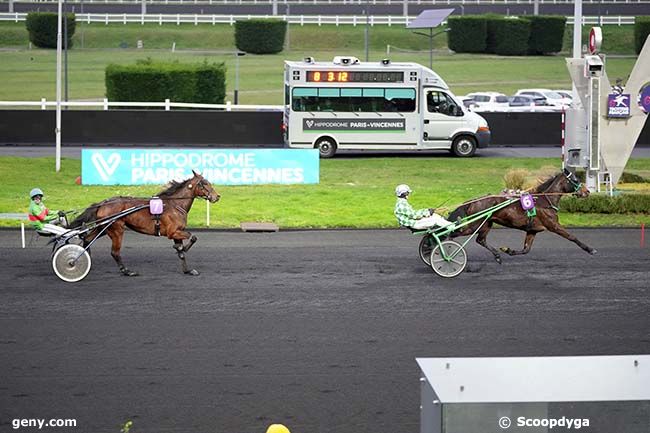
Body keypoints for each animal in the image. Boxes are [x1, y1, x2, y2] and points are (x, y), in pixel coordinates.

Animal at [70, 170, 219, 276]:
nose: (217, 196)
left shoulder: (177, 233)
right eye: (205, 183)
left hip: (104, 228)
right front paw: (181, 248)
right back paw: (126, 271)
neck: (175, 204)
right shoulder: (173, 232)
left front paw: (187, 270)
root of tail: (103, 203)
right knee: (114, 252)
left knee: (87, 238)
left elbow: (182, 253)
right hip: (116, 229)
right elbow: (193, 237)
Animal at [448, 169, 596, 264]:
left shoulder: (532, 230)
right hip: (476, 224)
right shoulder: (553, 225)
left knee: (480, 240)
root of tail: (472, 201)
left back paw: (497, 256)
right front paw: (590, 249)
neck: (544, 201)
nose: (587, 191)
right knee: (455, 233)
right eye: (575, 179)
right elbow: (572, 237)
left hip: (486, 224)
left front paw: (508, 250)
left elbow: (526, 249)